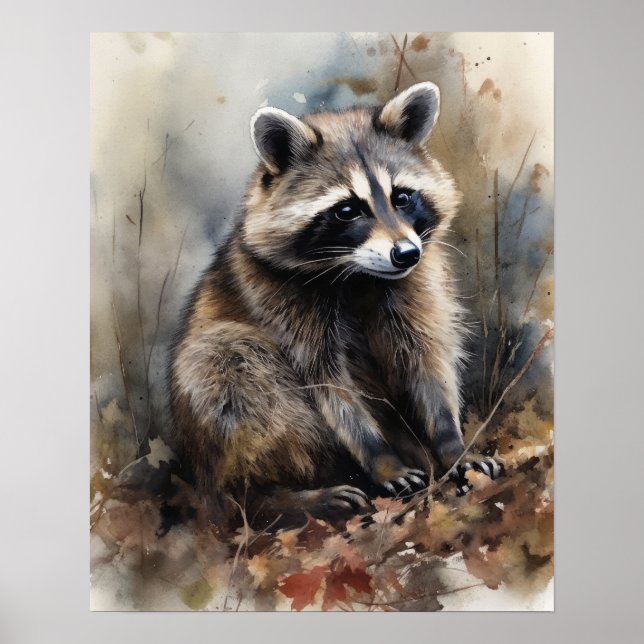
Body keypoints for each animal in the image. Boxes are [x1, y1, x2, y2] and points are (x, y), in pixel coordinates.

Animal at [168, 82, 502, 528]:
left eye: (403, 197)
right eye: (347, 210)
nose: (406, 254)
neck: (358, 276)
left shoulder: (417, 289)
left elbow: (426, 363)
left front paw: (451, 442)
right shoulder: (277, 298)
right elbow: (328, 385)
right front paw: (380, 458)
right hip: (218, 401)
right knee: (234, 366)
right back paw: (273, 498)